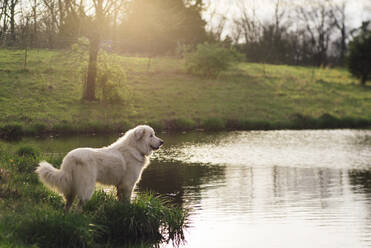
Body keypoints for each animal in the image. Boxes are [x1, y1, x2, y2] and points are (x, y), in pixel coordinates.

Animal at [36, 125, 164, 210]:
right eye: (151, 135)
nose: (162, 142)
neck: (135, 148)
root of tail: (70, 158)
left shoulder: (120, 185)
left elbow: (120, 200)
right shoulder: (128, 184)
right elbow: (127, 201)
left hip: (72, 187)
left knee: (68, 204)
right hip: (87, 187)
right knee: (79, 206)